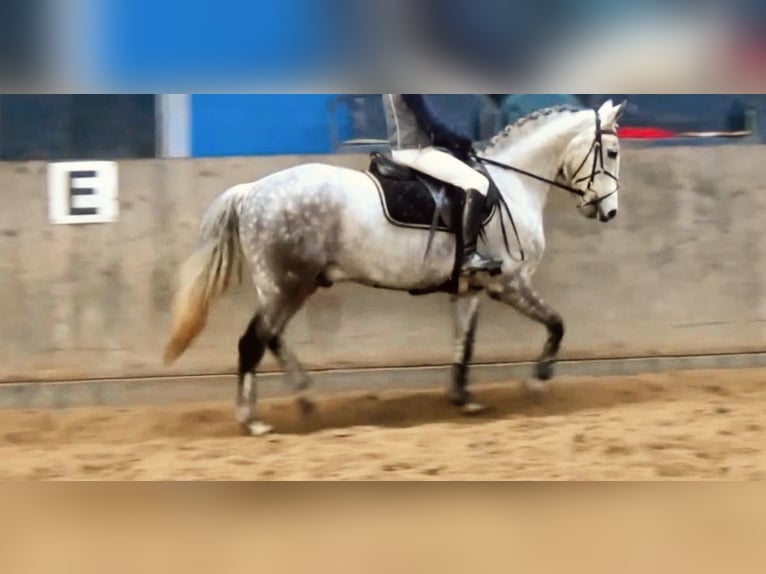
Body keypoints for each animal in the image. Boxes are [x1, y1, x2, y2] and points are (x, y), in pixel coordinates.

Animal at [163, 99, 627, 436]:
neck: (513, 184)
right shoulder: (511, 282)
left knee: (270, 337)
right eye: (613, 151)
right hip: (286, 283)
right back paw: (254, 420)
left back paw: (304, 398)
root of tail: (252, 191)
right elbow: (556, 323)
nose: (608, 212)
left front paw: (462, 398)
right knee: (252, 342)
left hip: (292, 285)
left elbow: (465, 343)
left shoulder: (473, 288)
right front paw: (538, 381)